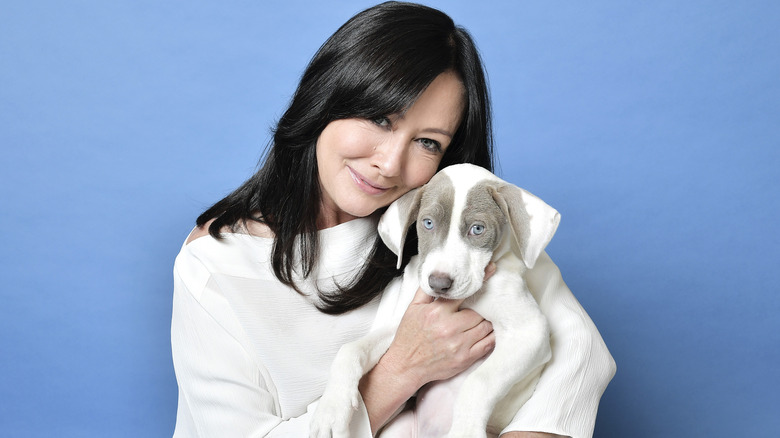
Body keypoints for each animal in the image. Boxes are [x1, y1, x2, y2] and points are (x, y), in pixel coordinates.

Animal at [310, 164, 560, 438]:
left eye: (478, 229)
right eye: (428, 223)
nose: (439, 284)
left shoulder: (530, 332)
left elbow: (479, 381)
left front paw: (465, 431)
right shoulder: (405, 326)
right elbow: (351, 349)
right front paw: (331, 409)